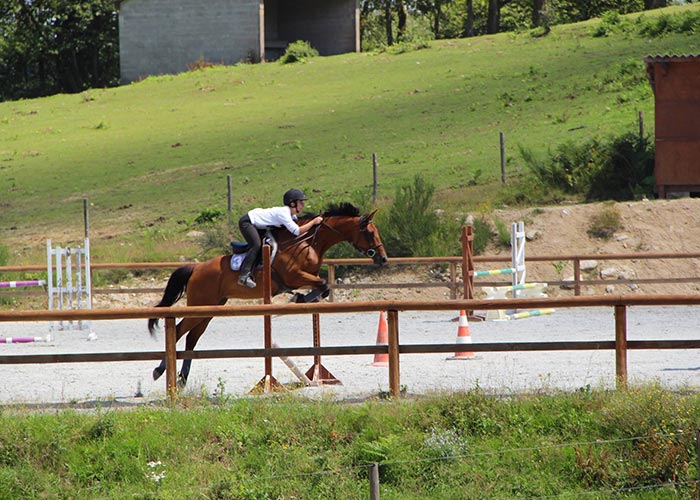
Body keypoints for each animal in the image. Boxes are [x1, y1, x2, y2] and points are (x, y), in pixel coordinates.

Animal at [148, 202, 388, 386]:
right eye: (370, 232)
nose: (383, 258)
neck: (309, 242)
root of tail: (196, 268)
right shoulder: (295, 276)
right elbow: (322, 284)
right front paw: (297, 298)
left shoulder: (306, 276)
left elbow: (323, 286)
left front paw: (300, 298)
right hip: (200, 305)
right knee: (179, 331)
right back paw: (160, 371)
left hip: (210, 309)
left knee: (191, 338)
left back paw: (182, 379)